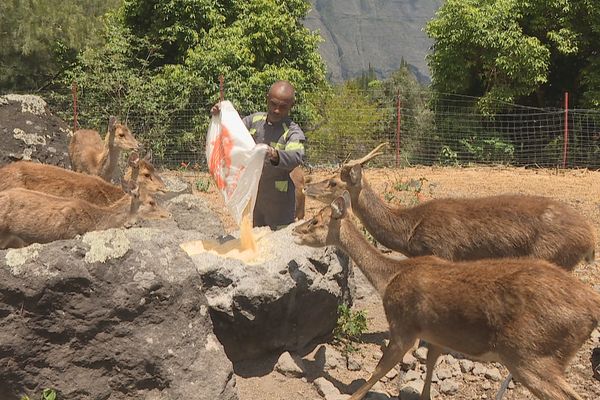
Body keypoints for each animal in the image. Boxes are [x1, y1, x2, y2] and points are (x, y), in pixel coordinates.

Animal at [292, 192, 600, 398]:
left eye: (316, 221)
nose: (295, 230)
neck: (388, 278)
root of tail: (591, 308)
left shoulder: (402, 326)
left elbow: (379, 369)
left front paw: (352, 395)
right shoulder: (437, 333)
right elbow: (429, 365)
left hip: (530, 352)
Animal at [304, 142, 596, 270]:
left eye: (333, 181)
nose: (307, 186)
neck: (409, 231)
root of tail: (590, 240)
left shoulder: (443, 251)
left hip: (553, 255)